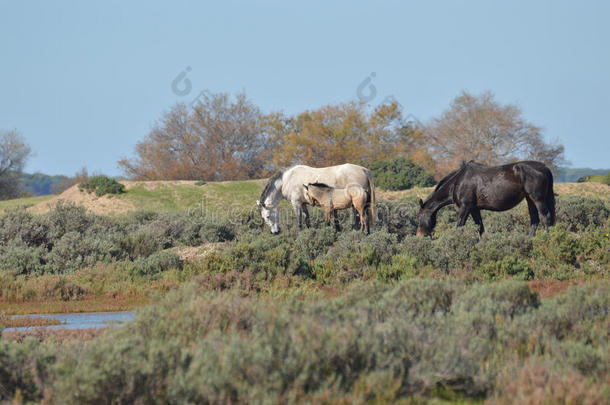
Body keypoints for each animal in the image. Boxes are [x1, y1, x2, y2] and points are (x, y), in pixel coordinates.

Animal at [416, 161, 552, 235]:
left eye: (419, 216)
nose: (419, 235)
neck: (458, 181)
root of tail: (544, 168)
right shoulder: (474, 209)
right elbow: (480, 228)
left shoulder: (465, 208)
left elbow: (459, 226)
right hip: (530, 200)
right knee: (534, 221)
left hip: (538, 199)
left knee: (546, 217)